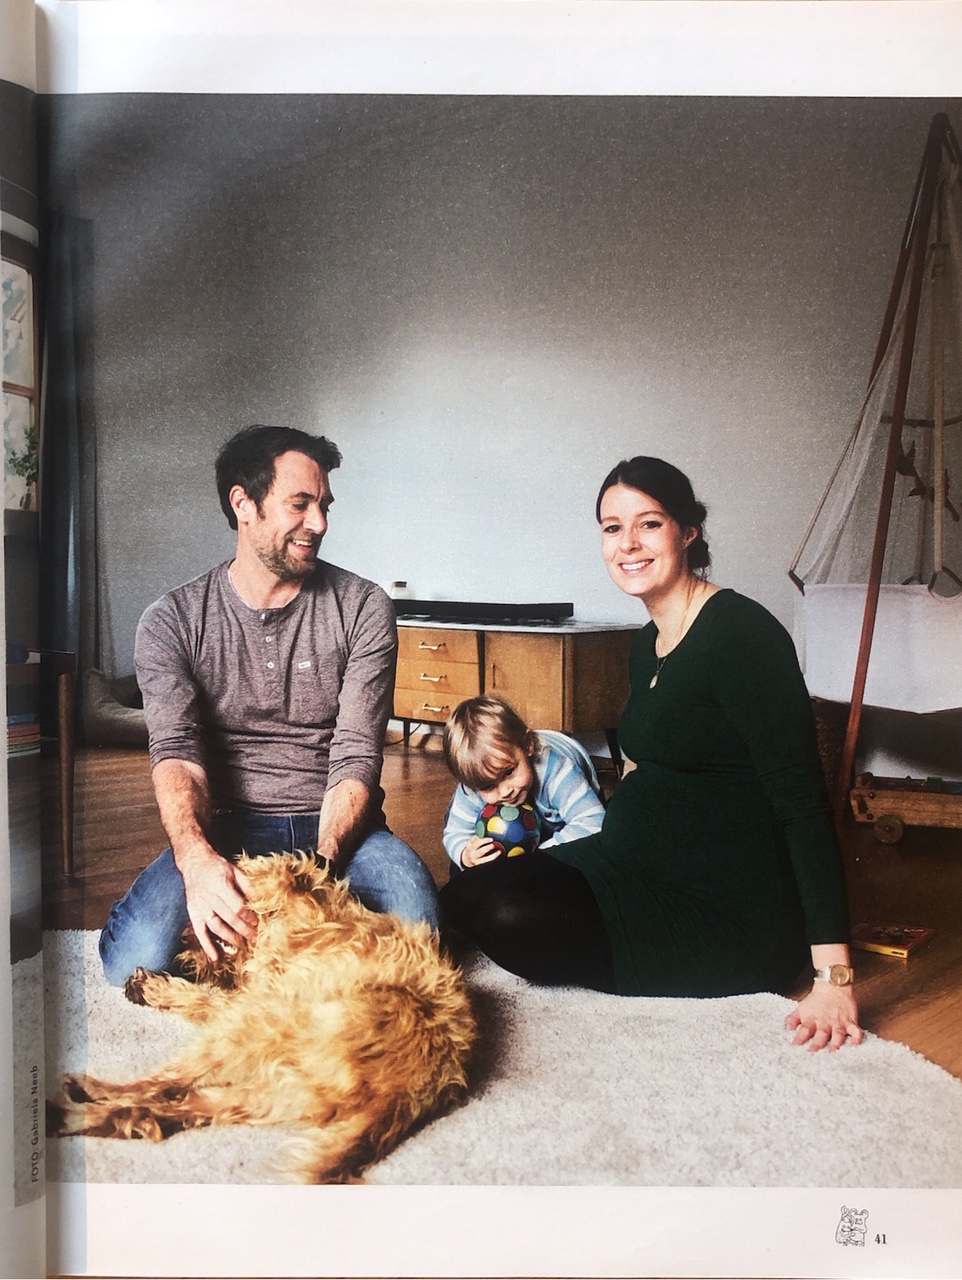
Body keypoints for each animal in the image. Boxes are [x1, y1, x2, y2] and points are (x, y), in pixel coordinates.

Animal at [48, 851, 476, 1183]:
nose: (186, 939)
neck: (314, 920)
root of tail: (402, 1091)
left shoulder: (254, 998)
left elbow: (205, 1000)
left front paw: (158, 986)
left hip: (254, 1030)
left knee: (158, 1089)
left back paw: (79, 1096)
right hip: (264, 1089)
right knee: (167, 1107)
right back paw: (74, 1115)